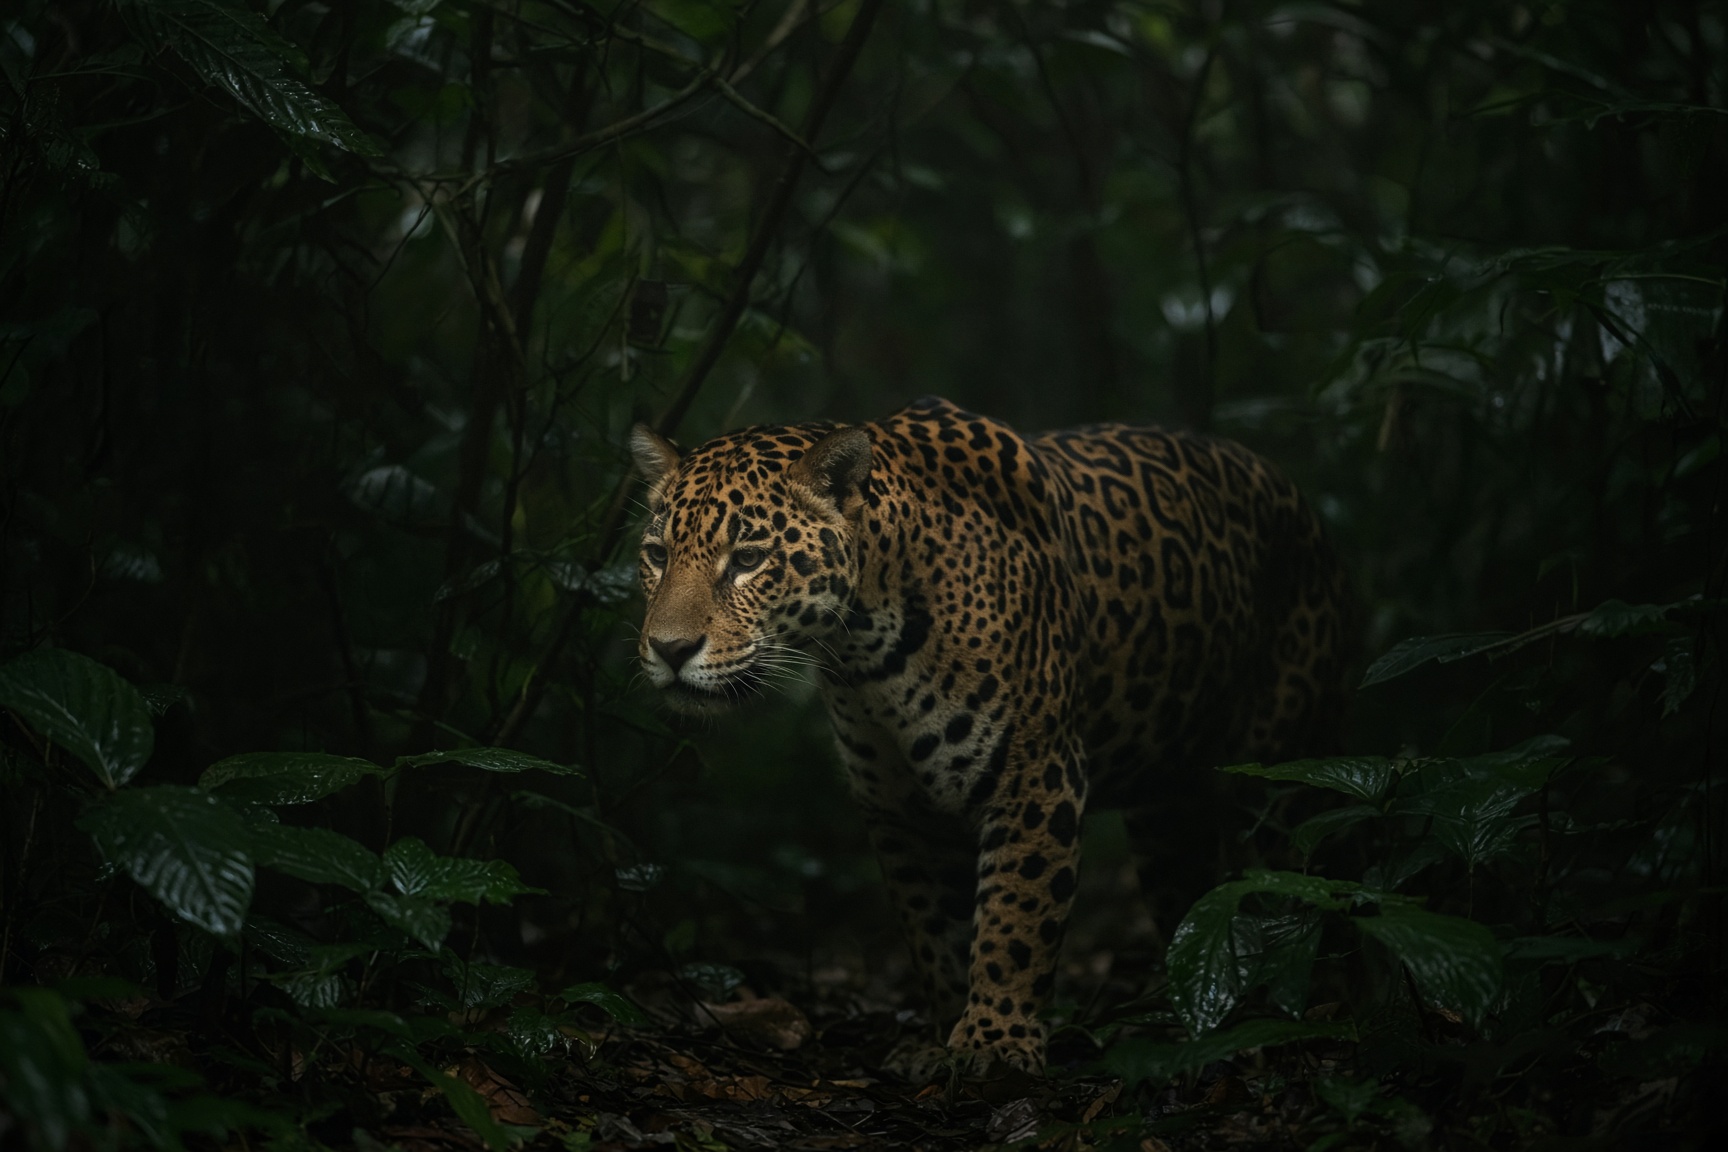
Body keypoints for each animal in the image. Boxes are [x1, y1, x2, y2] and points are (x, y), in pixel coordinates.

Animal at [630, 396, 1351, 1075]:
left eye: (749, 559)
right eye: (657, 554)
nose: (669, 649)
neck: (866, 651)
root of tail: (1295, 494)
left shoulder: (1036, 779)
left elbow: (1015, 916)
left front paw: (993, 1042)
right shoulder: (897, 810)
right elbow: (932, 931)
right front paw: (942, 1036)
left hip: (1278, 781)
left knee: (1290, 885)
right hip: (1165, 813)